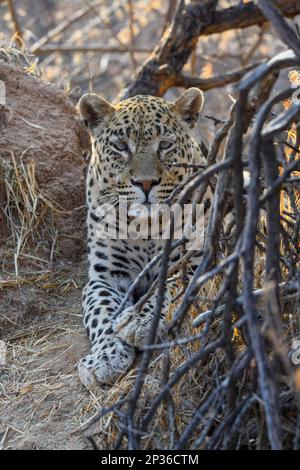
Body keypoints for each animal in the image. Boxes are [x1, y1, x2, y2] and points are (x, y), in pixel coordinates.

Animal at [77, 88, 206, 386]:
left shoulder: (193, 261)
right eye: (122, 146)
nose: (145, 183)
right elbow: (101, 310)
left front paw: (137, 322)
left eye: (165, 145)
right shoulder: (105, 275)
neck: (143, 226)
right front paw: (104, 357)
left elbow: (165, 288)